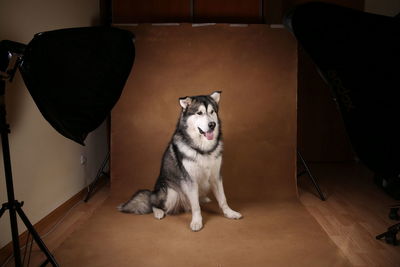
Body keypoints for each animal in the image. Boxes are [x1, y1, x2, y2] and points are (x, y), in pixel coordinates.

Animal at [117, 92, 242, 232]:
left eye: (212, 112)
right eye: (199, 113)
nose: (212, 124)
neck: (203, 149)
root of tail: (153, 192)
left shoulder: (216, 176)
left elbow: (223, 199)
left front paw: (229, 213)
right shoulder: (190, 180)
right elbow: (196, 206)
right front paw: (197, 222)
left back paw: (204, 199)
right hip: (171, 194)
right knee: (154, 203)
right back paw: (158, 212)